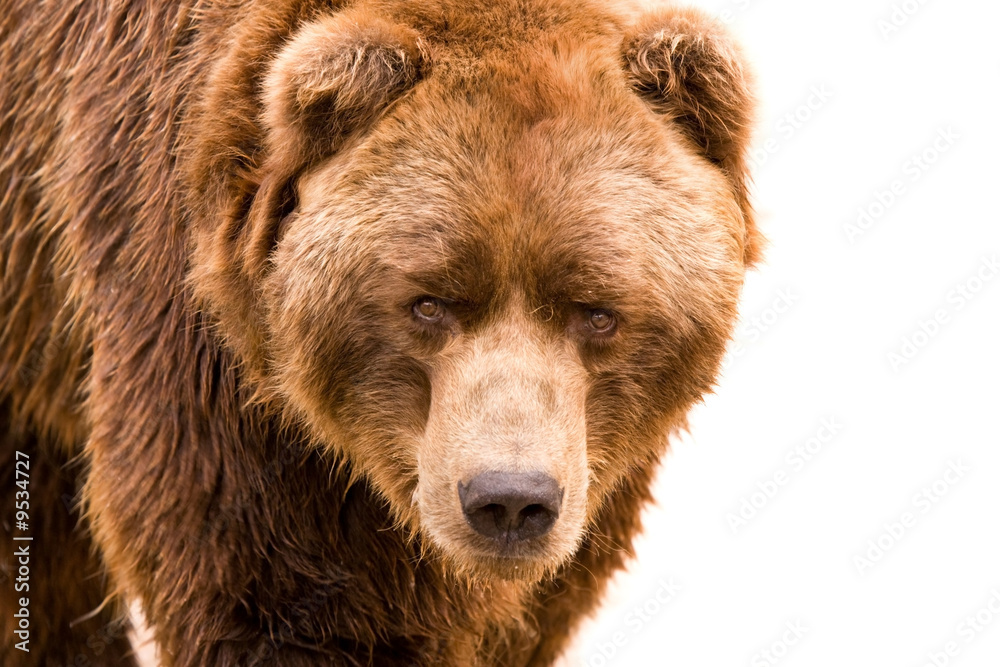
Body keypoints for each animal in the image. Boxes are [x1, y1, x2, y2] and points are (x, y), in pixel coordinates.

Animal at [0, 0, 756, 664]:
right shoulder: (205, 352)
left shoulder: (593, 473)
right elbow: (269, 594)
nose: (509, 500)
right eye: (429, 302)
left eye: (597, 310)